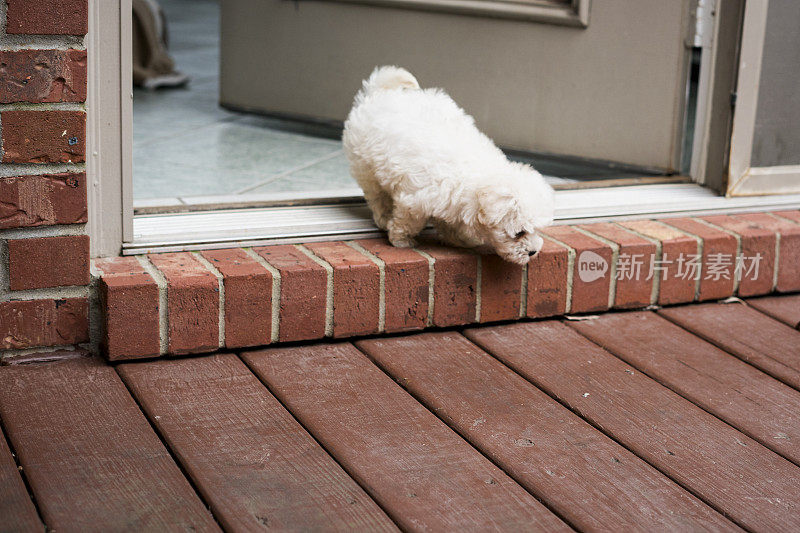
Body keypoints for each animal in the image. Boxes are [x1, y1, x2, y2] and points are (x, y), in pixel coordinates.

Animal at [340, 65, 552, 264]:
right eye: (519, 233)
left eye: (536, 230)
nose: (533, 252)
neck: (478, 182)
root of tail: (378, 93)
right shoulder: (415, 200)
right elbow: (408, 221)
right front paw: (401, 240)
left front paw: (462, 239)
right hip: (365, 166)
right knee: (376, 194)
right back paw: (383, 217)